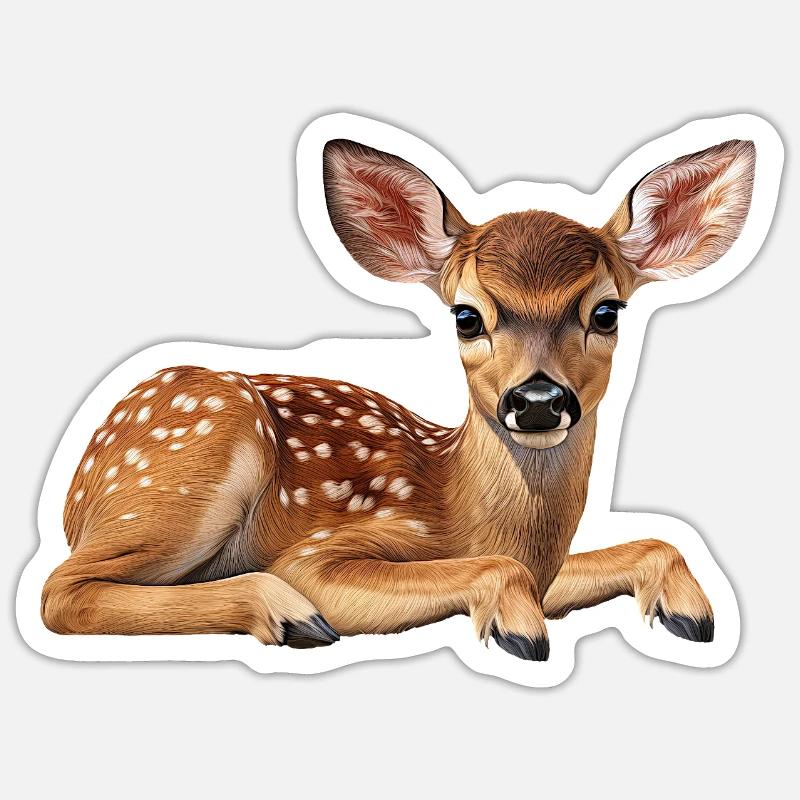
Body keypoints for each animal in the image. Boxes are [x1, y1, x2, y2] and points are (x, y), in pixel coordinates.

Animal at [40, 134, 755, 661]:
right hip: (191, 467)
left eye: (607, 312)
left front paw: (692, 612)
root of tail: (75, 491)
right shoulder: (325, 548)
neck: (464, 506)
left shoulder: (547, 569)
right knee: (60, 591)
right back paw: (290, 616)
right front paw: (519, 628)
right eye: (465, 316)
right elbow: (497, 572)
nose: (537, 399)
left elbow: (652, 543)